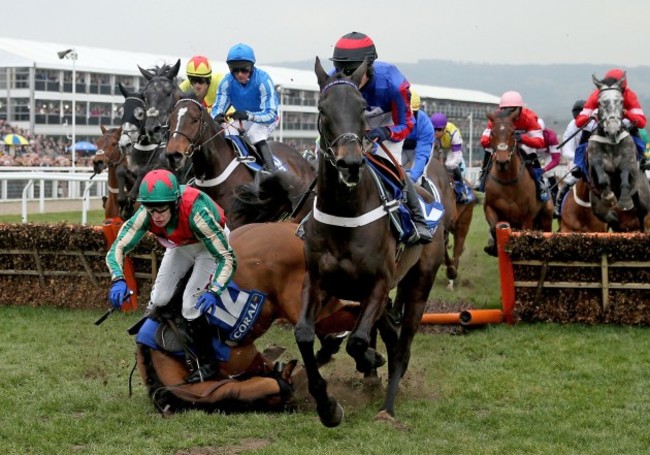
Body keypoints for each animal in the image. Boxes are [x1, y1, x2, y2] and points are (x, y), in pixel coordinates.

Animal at [484, 108, 548, 255]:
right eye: (492, 133)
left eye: (513, 132)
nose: (502, 161)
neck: (507, 181)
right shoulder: (490, 208)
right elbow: (494, 228)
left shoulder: (527, 217)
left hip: (546, 215)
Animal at [584, 75, 648, 232]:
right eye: (599, 102)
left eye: (621, 101)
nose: (613, 129)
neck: (611, 142)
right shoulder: (595, 162)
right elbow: (601, 178)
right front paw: (609, 196)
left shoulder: (628, 163)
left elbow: (625, 177)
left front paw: (624, 202)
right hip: (597, 206)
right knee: (610, 218)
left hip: (643, 200)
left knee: (641, 216)